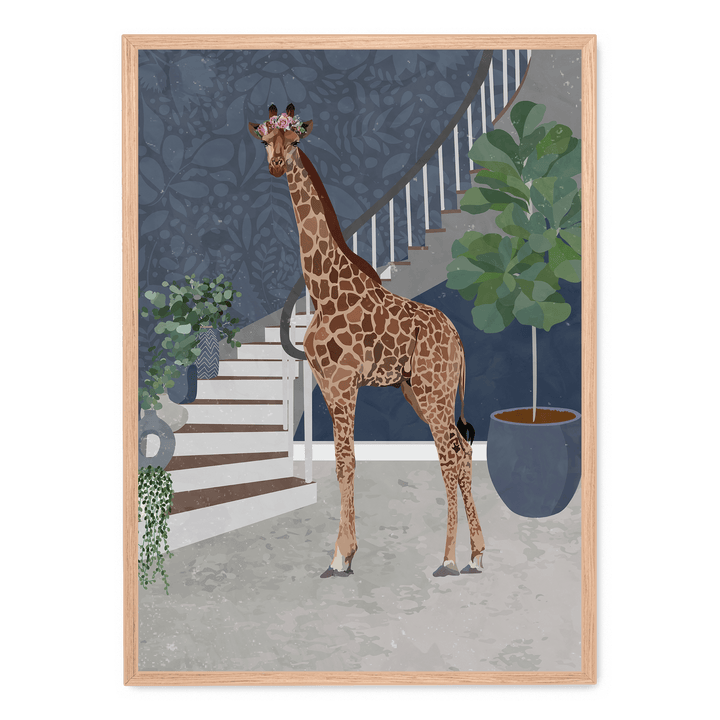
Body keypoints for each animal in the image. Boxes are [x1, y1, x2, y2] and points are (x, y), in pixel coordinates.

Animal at [249, 104, 485, 578]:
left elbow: (347, 460)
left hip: (434, 392)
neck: (323, 289)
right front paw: (346, 553)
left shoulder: (344, 384)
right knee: (463, 449)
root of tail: (458, 338)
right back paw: (476, 554)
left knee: (449, 456)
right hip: (420, 391)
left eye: (295, 140)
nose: (277, 164)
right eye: (265, 140)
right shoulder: (326, 385)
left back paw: (448, 559)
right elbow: (344, 463)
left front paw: (340, 555)